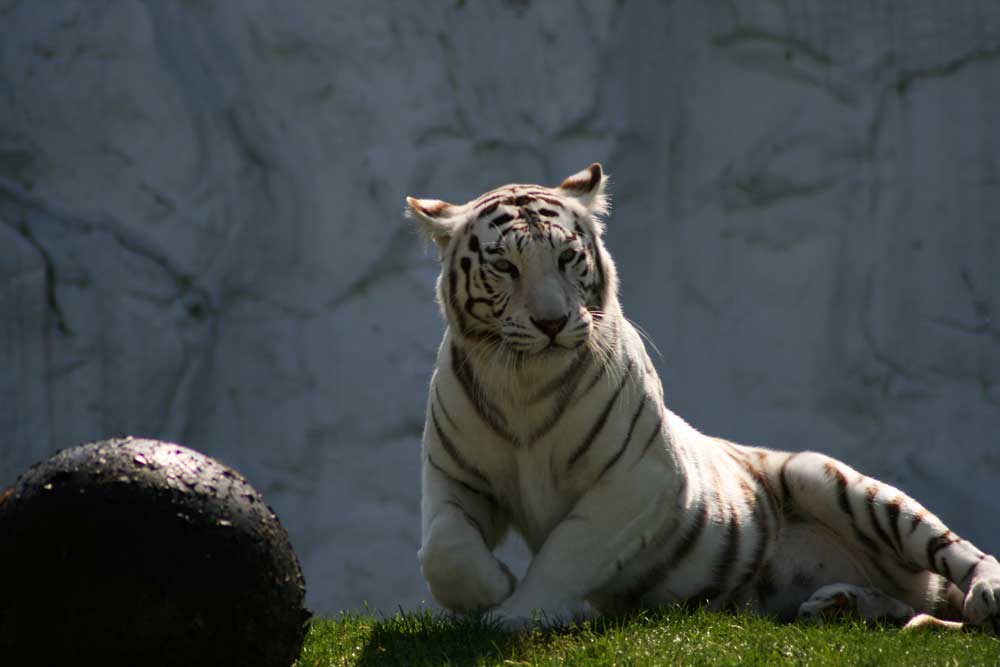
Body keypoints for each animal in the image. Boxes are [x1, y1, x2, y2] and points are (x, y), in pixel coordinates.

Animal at [406, 163, 1000, 632]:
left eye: (568, 257)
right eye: (505, 266)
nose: (552, 322)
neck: (524, 385)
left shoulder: (640, 476)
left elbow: (567, 548)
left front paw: (516, 612)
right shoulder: (453, 476)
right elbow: (442, 549)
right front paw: (492, 586)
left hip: (829, 478)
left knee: (956, 552)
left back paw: (984, 593)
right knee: (906, 606)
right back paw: (840, 604)